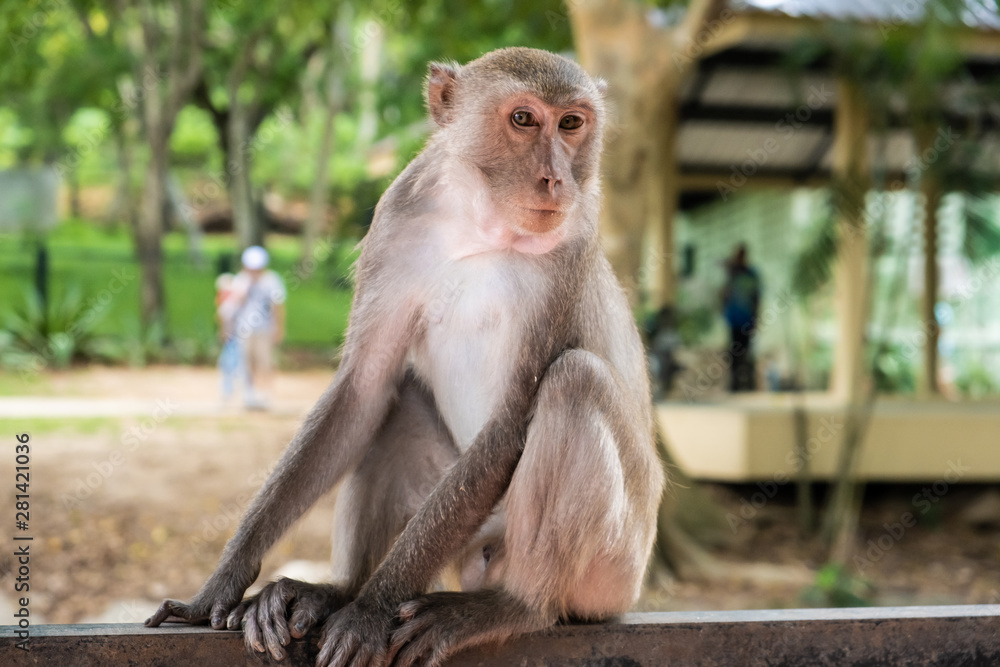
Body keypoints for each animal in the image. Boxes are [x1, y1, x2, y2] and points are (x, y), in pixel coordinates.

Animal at [146, 47, 664, 667]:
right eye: (524, 120)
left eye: (571, 123)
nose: (556, 178)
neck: (482, 225)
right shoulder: (397, 216)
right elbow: (364, 388)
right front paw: (220, 587)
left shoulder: (574, 244)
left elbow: (511, 421)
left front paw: (370, 610)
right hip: (470, 532)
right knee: (398, 402)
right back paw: (334, 590)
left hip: (612, 568)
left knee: (575, 379)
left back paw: (512, 606)